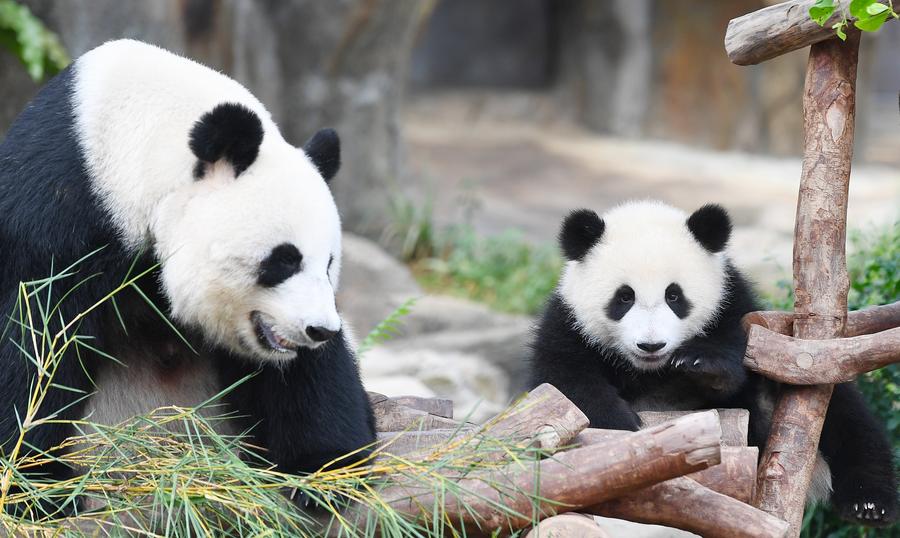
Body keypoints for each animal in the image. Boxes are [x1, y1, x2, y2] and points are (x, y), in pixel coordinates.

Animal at [0, 39, 375, 509]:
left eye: (328, 263)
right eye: (284, 260)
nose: (319, 330)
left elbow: (307, 378)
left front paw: (324, 471)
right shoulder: (55, 215)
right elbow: (36, 337)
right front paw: (35, 485)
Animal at [528, 200, 898, 527]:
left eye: (674, 295)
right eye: (624, 297)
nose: (651, 345)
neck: (651, 372)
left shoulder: (735, 308)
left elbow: (738, 357)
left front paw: (702, 365)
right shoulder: (568, 325)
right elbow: (565, 386)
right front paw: (624, 431)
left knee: (846, 417)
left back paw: (869, 503)